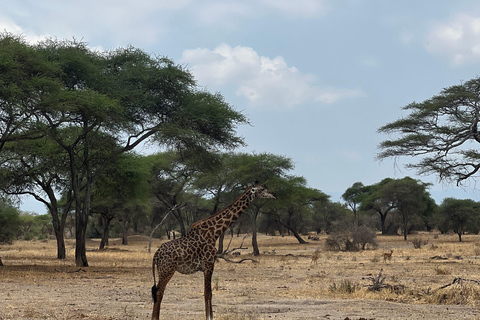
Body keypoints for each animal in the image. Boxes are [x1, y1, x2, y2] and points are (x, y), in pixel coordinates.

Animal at [152, 182, 276, 320]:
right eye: (262, 189)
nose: (274, 194)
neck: (214, 232)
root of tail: (156, 255)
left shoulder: (207, 266)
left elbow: (208, 293)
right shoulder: (209, 264)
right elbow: (208, 293)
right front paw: (209, 317)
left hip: (163, 271)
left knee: (158, 292)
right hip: (167, 270)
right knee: (159, 292)